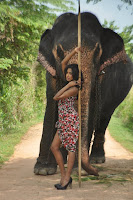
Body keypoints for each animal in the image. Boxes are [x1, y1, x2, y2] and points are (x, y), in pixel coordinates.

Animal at [34, 12, 133, 175]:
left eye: (98, 51)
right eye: (59, 51)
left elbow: (91, 106)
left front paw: (75, 169)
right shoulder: (51, 68)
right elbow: (52, 101)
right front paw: (43, 169)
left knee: (104, 116)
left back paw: (95, 159)